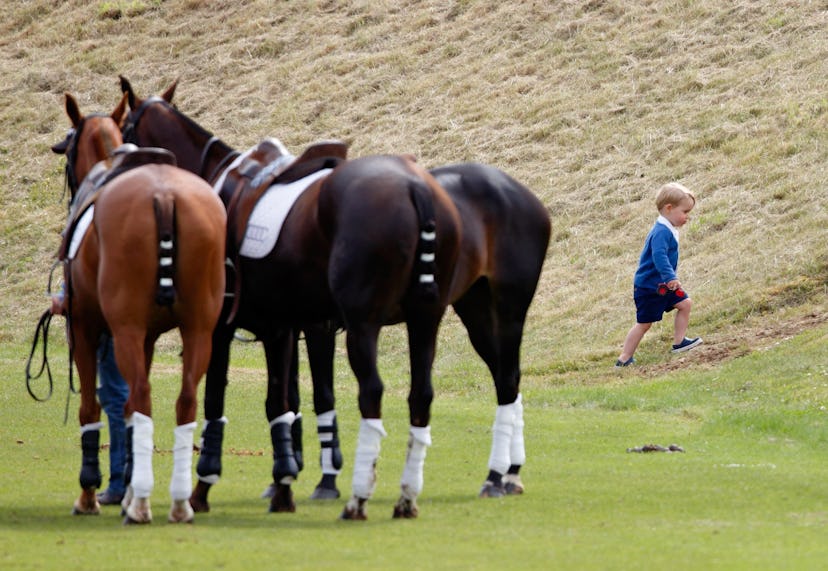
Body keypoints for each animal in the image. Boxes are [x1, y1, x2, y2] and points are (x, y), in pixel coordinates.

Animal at [51, 92, 226, 524]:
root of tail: (164, 195)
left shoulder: (83, 328)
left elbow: (91, 408)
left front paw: (91, 493)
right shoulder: (147, 337)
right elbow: (129, 409)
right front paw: (128, 487)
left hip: (125, 328)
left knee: (144, 398)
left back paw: (143, 504)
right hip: (199, 328)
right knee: (184, 401)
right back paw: (178, 502)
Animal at [119, 77, 552, 524]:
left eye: (124, 125)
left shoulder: (249, 323)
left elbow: (247, 399)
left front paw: (303, 479)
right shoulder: (292, 324)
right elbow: (288, 400)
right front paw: (289, 476)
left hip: (478, 314)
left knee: (454, 384)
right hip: (465, 312)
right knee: (491, 382)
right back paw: (495, 476)